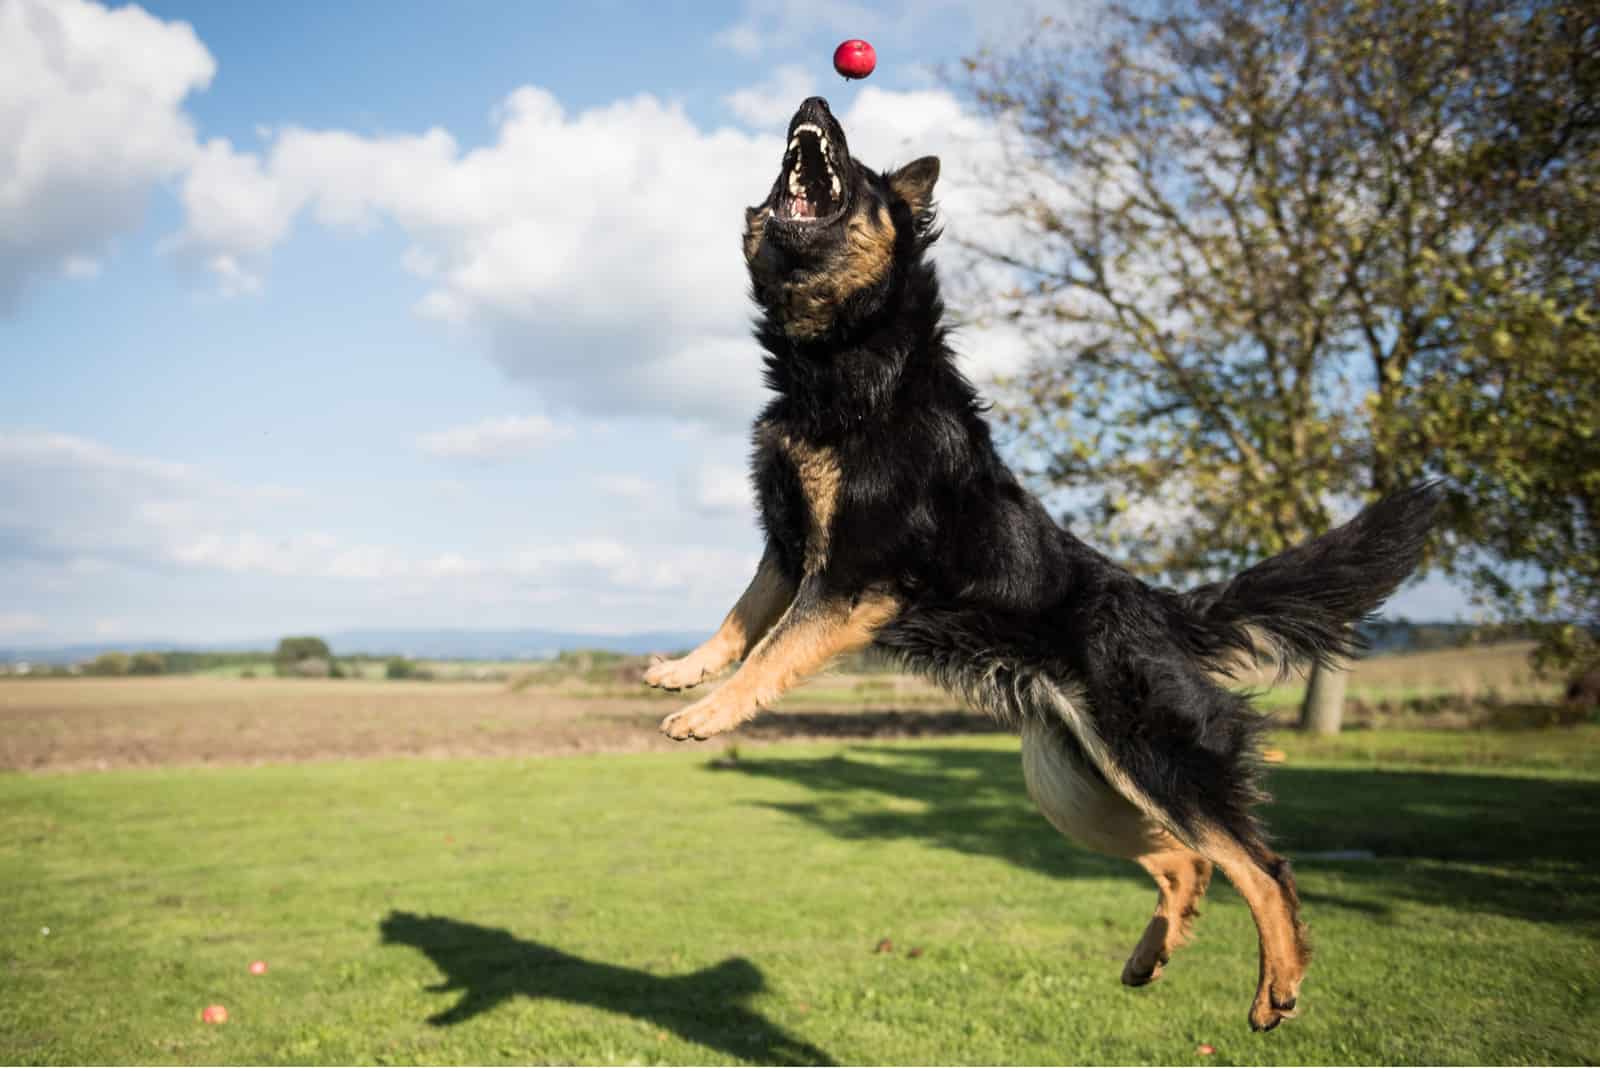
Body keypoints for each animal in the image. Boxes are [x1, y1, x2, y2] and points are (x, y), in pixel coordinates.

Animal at [640, 99, 1440, 1036]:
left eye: (862, 173)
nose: (815, 105)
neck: (849, 361)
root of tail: (1163, 607)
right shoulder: (789, 544)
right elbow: (740, 617)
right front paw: (684, 669)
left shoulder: (849, 579)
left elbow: (773, 651)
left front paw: (709, 713)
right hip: (1082, 786)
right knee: (1191, 861)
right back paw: (1150, 957)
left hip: (1153, 761)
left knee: (1261, 866)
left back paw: (1276, 987)